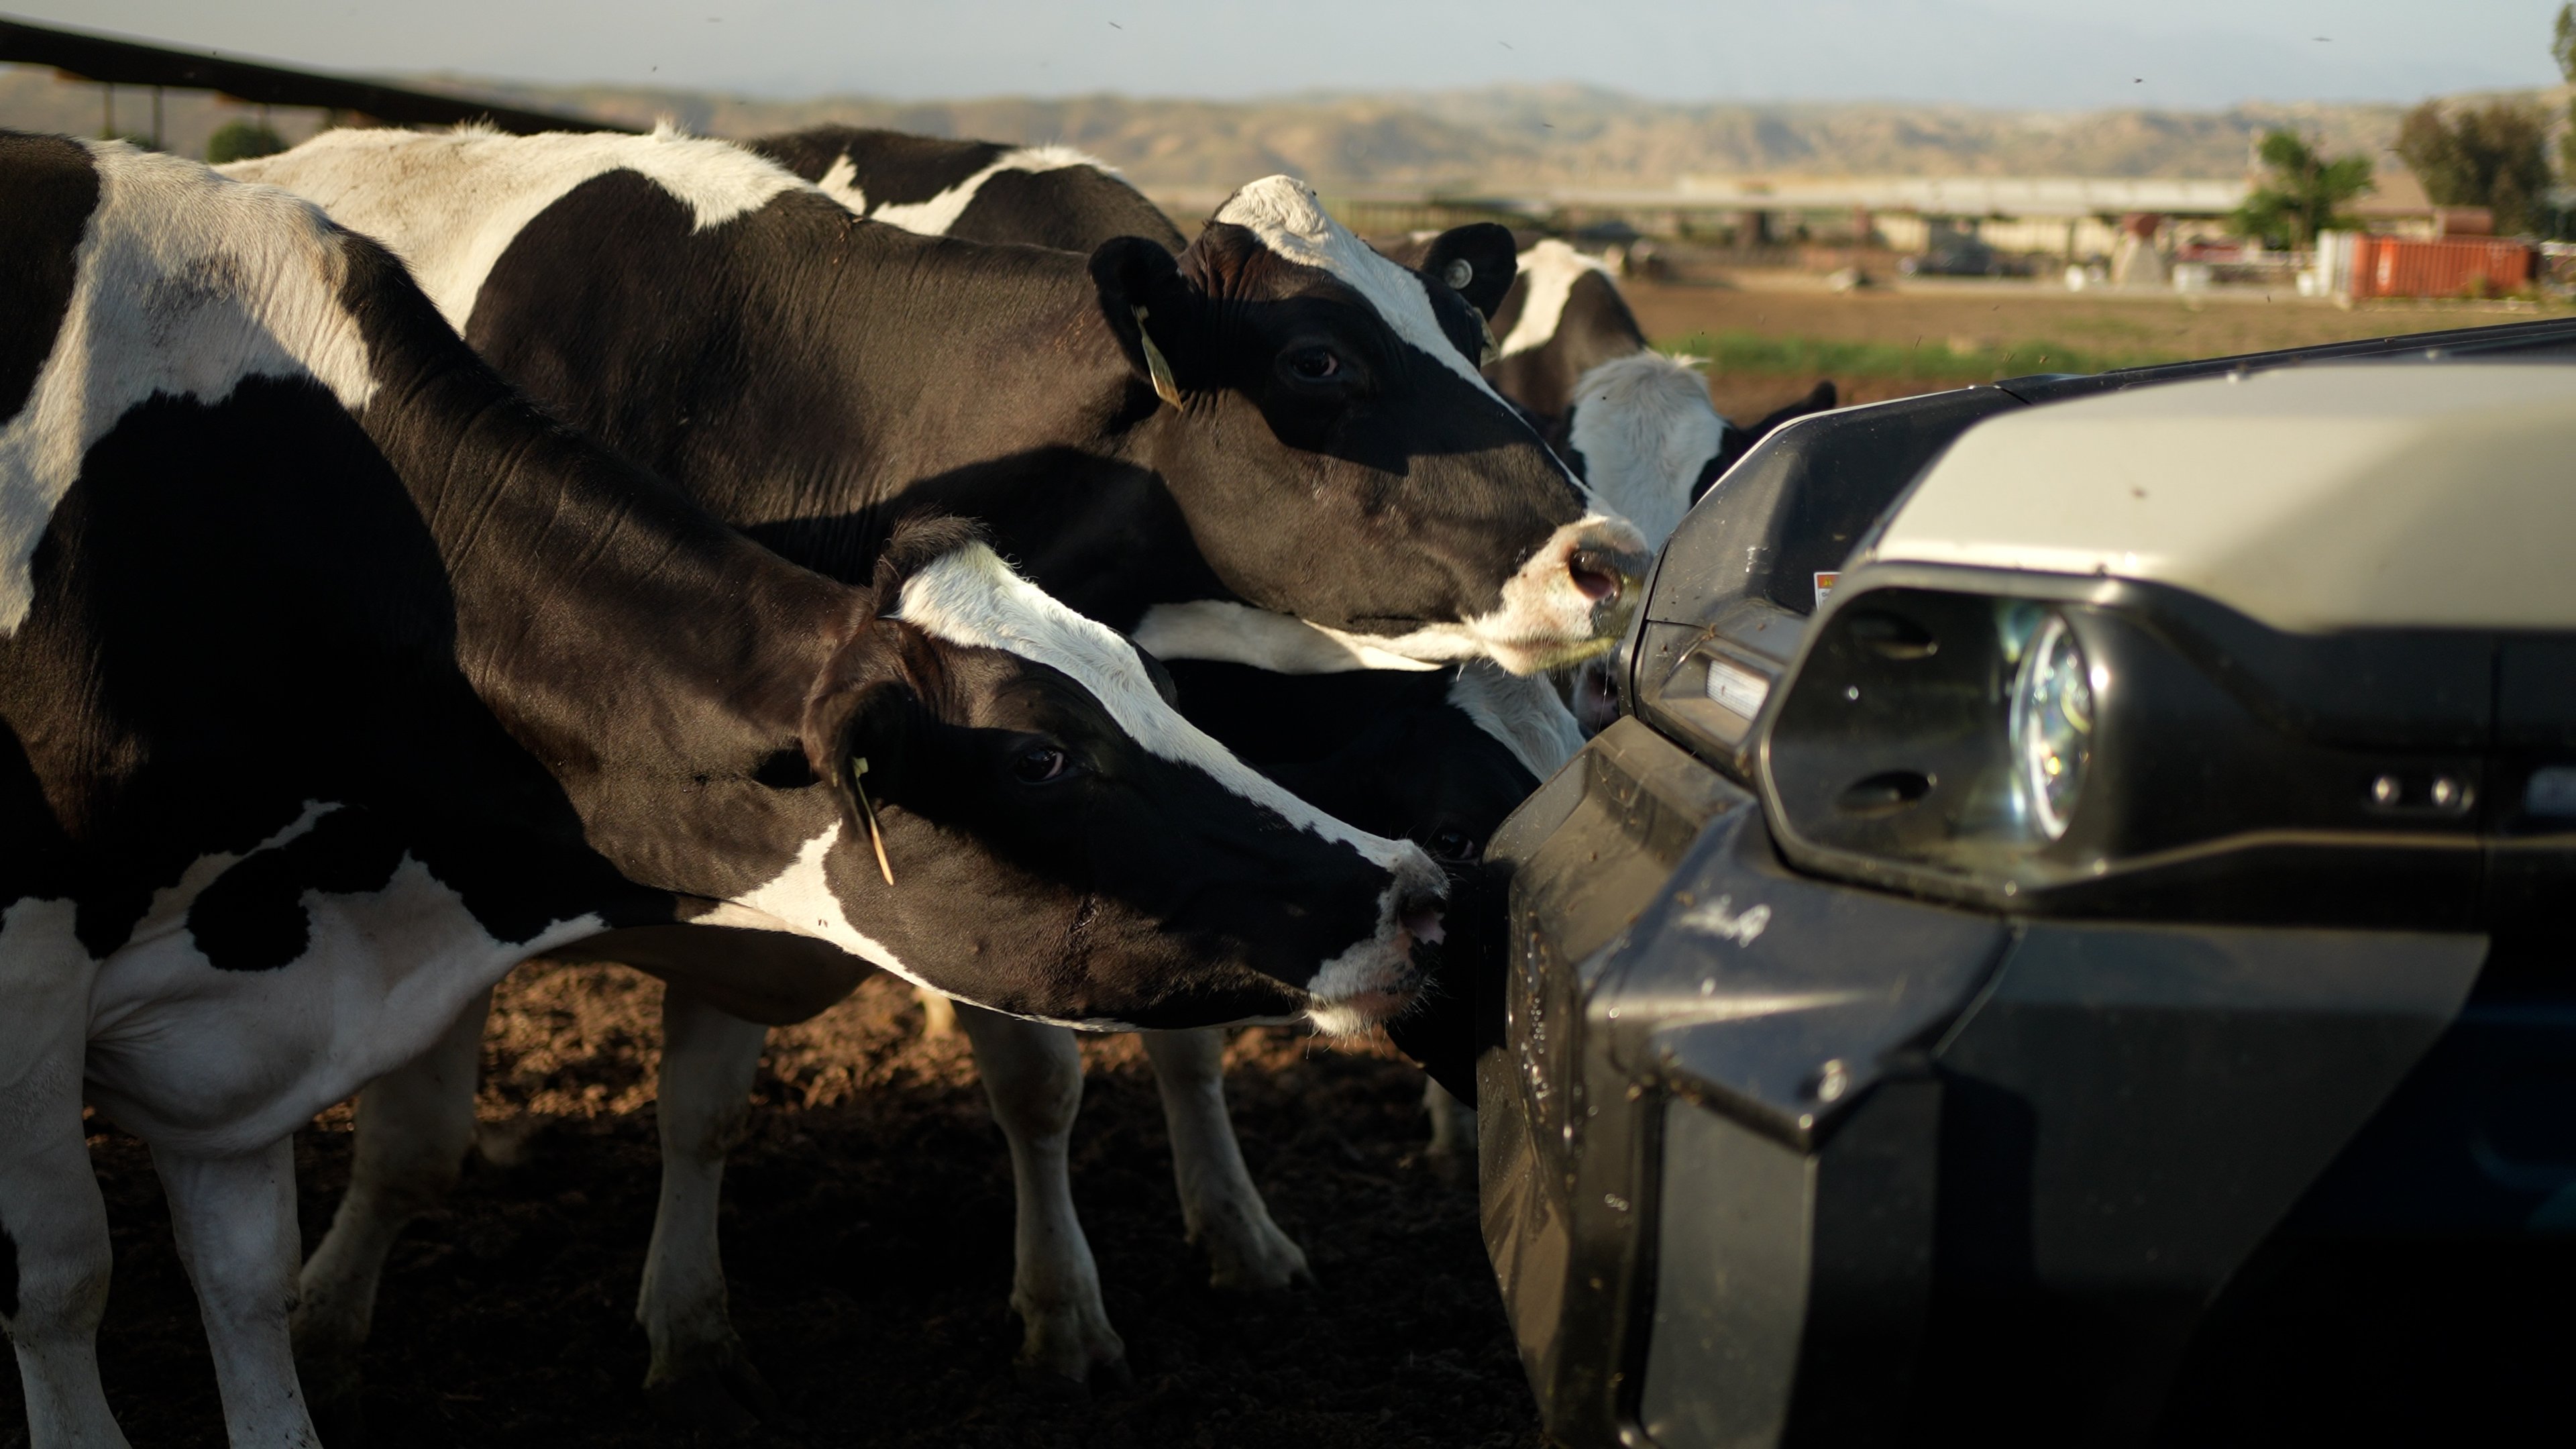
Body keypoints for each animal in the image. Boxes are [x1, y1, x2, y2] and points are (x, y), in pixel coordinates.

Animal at [0, 132, 1452, 1433]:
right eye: (1038, 755)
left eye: (1149, 687)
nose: (1418, 891)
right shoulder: (49, 961)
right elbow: (80, 1272)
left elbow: (254, 1274)